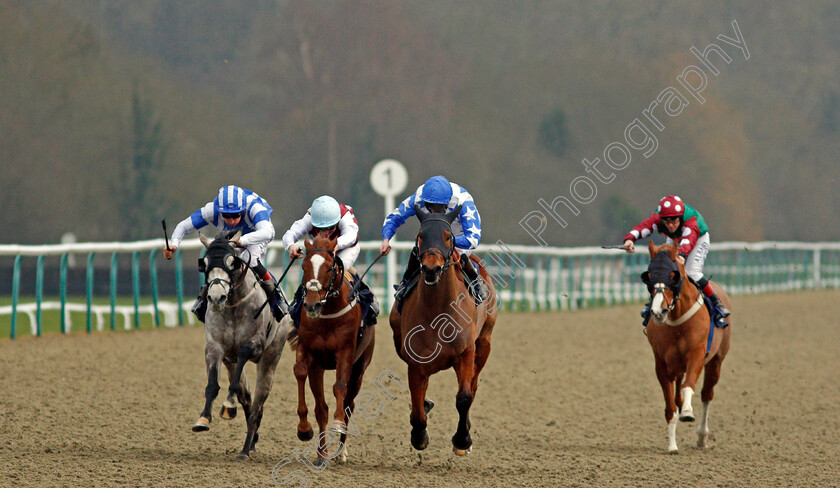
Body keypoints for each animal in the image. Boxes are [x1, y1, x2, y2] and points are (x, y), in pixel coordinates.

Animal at [191, 231, 292, 460]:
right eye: (205, 264)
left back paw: (245, 449)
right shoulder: (215, 348)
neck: (233, 307)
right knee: (247, 398)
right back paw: (252, 441)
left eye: (232, 262)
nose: (216, 297)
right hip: (230, 361)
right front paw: (203, 418)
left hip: (271, 358)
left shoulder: (254, 346)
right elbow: (213, 385)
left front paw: (228, 405)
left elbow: (238, 379)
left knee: (257, 405)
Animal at [292, 233, 378, 466]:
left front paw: (337, 423)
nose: (312, 305)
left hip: (360, 368)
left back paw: (341, 451)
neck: (328, 313)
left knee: (349, 404)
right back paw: (324, 453)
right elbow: (301, 374)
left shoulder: (345, 352)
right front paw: (305, 430)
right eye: (303, 266)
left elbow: (339, 387)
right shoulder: (310, 354)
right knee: (322, 408)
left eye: (330, 267)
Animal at [388, 204, 498, 456]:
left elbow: (464, 397)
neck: (437, 310)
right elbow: (417, 404)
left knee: (473, 385)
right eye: (421, 235)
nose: (431, 269)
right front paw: (419, 435)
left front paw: (462, 440)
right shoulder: (416, 362)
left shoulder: (466, 353)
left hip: (484, 343)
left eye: (448, 237)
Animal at [644, 241, 728, 454]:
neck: (677, 322)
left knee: (707, 394)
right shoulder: (661, 362)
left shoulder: (697, 354)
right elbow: (670, 406)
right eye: (649, 275)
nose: (658, 311)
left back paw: (702, 437)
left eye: (673, 275)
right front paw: (672, 444)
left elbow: (688, 385)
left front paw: (688, 412)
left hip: (716, 361)